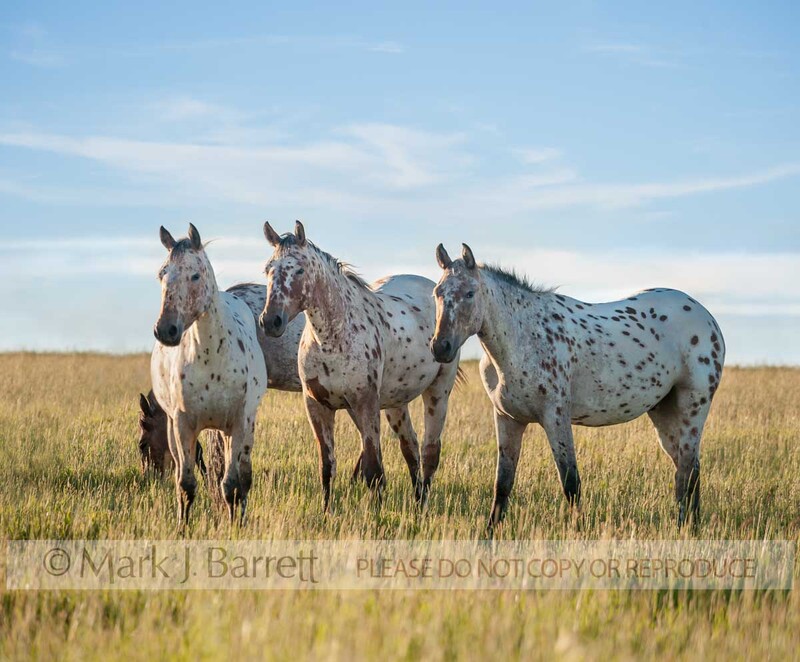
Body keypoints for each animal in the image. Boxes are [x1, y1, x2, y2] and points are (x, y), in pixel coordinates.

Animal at [151, 224, 267, 526]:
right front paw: (182, 527)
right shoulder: (182, 425)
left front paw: (234, 526)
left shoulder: (237, 425)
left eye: (195, 275)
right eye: (162, 274)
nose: (165, 330)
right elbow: (186, 484)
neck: (210, 356)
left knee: (242, 476)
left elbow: (232, 484)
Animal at [259, 221, 462, 510]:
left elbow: (373, 470)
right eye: (268, 269)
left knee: (429, 452)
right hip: (394, 404)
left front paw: (376, 513)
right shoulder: (317, 405)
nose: (270, 321)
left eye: (299, 269)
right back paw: (417, 499)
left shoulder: (365, 403)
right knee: (409, 446)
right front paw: (327, 511)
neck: (333, 338)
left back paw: (422, 506)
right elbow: (328, 466)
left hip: (437, 393)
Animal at [430, 243, 725, 531]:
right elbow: (502, 483)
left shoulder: (555, 417)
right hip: (664, 413)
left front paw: (579, 531)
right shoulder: (507, 418)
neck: (523, 337)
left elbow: (571, 483)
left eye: (470, 293)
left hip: (691, 410)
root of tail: (707, 318)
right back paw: (690, 527)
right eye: (437, 293)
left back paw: (685, 528)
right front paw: (489, 534)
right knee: (689, 470)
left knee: (686, 472)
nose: (440, 347)